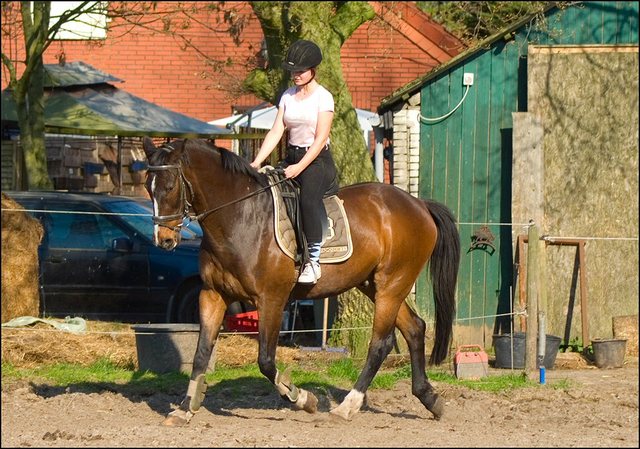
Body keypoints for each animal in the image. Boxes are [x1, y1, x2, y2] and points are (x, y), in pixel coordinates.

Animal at [142, 136, 458, 424]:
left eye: (169, 186)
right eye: (148, 187)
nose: (164, 240)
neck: (239, 217)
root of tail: (418, 204)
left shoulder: (271, 299)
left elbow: (266, 361)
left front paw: (303, 399)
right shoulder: (212, 294)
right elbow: (200, 354)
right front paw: (185, 409)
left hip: (392, 284)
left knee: (381, 343)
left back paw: (347, 407)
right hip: (375, 286)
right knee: (415, 328)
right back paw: (430, 399)